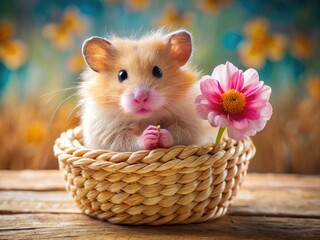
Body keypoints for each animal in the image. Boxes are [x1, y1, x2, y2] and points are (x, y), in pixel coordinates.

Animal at [79, 29, 211, 151]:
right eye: (121, 75)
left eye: (158, 71)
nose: (141, 98)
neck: (146, 119)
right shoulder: (106, 134)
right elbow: (125, 141)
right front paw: (150, 133)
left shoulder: (192, 124)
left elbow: (180, 134)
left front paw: (160, 133)